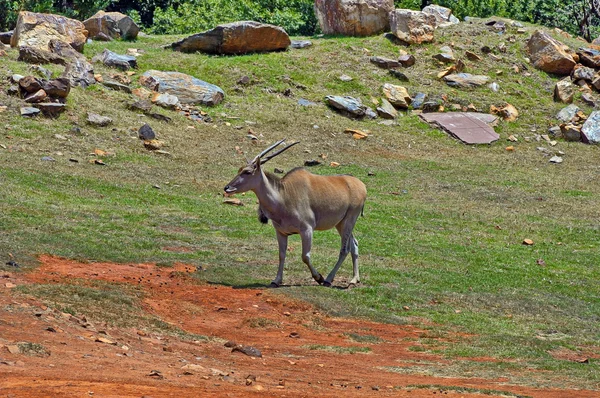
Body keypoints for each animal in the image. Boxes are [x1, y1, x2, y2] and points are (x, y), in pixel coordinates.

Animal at [224, 139, 366, 286]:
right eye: (239, 170)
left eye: (247, 171)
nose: (227, 188)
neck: (284, 196)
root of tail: (361, 185)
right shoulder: (281, 232)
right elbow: (281, 255)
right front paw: (276, 280)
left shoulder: (307, 230)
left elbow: (305, 256)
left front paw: (318, 277)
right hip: (341, 224)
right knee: (354, 244)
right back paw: (354, 279)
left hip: (349, 220)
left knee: (345, 249)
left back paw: (328, 279)